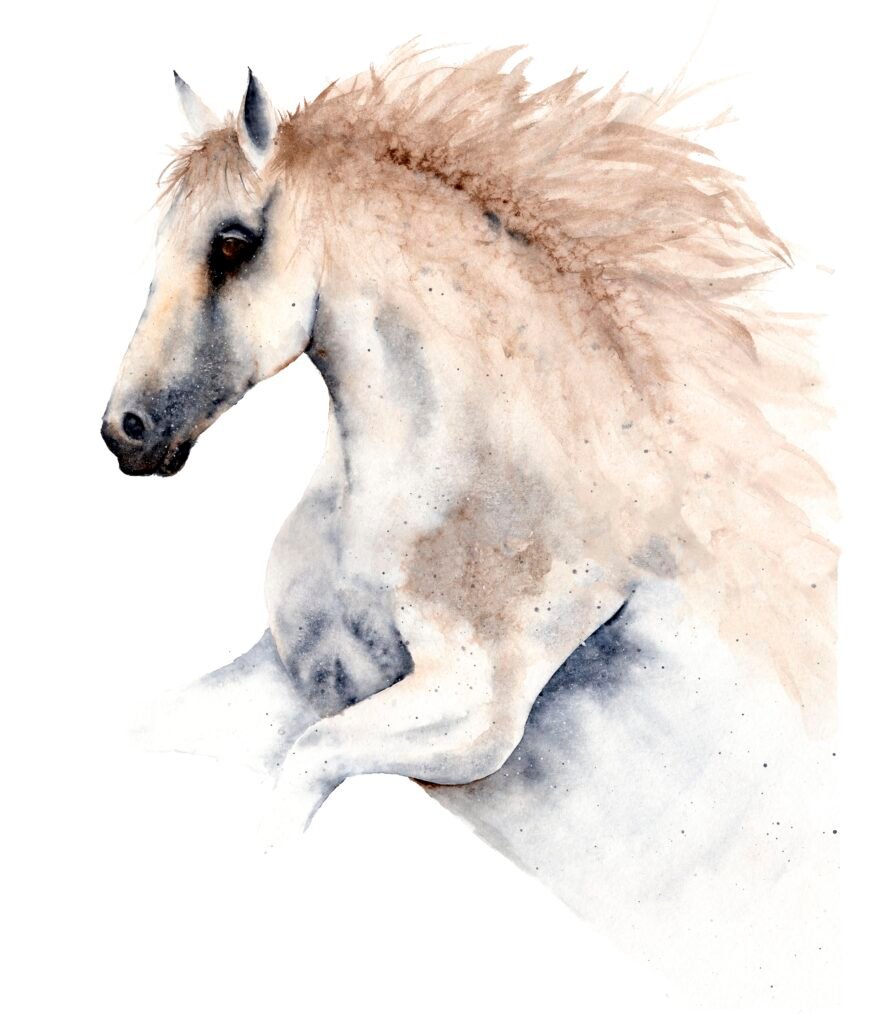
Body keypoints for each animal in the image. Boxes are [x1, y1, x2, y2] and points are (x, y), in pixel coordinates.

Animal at [102, 48, 838, 1003]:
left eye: (231, 242)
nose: (125, 430)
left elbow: (296, 778)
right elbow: (149, 727)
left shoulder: (468, 716)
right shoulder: (290, 679)